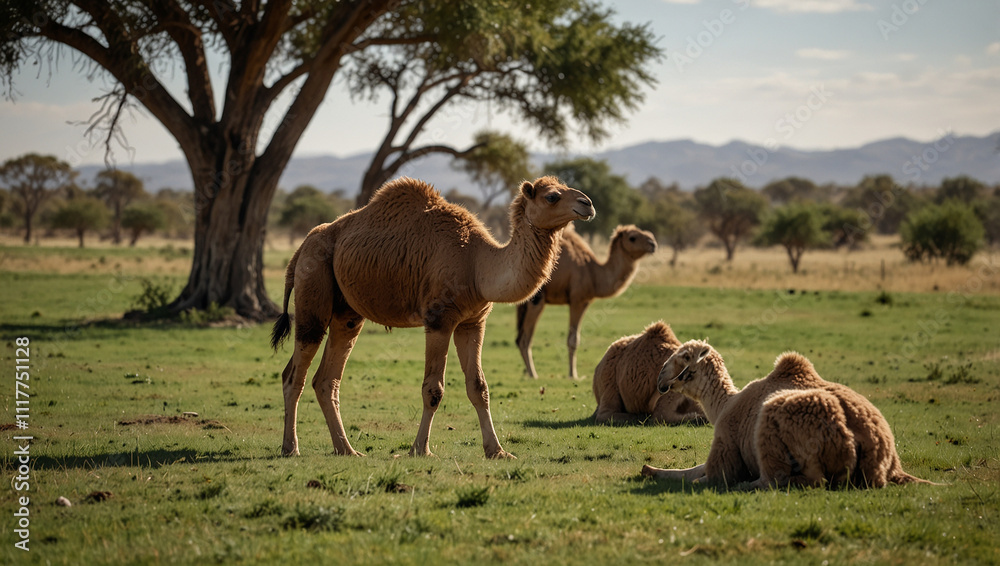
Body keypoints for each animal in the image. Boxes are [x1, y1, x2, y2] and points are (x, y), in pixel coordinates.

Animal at [271, 176, 595, 459]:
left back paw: (347, 450)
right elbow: (433, 389)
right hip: (313, 288)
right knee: (294, 374)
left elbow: (479, 388)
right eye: (552, 196)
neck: (477, 264)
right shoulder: (439, 320)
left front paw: (498, 451)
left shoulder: (472, 323)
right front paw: (420, 450)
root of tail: (300, 249)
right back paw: (291, 448)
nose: (588, 203)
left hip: (347, 314)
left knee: (326, 379)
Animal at [516, 224, 657, 379]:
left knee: (520, 337)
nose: (653, 244)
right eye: (632, 238)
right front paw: (573, 375)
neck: (593, 272)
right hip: (537, 299)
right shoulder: (577, 299)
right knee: (524, 339)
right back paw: (533, 374)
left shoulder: (585, 302)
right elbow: (573, 340)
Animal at [641, 340, 932, 489]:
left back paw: (745, 485)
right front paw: (648, 470)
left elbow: (701, 476)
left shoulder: (725, 446)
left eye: (684, 355)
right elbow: (690, 470)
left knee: (782, 480)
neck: (724, 404)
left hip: (773, 427)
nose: (661, 379)